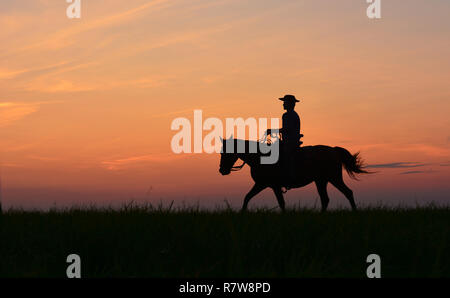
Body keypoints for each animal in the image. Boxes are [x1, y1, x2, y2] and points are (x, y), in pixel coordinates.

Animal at [218, 137, 370, 212]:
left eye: (226, 152)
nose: (222, 170)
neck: (259, 157)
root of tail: (334, 150)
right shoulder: (262, 184)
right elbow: (247, 197)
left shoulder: (270, 185)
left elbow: (281, 203)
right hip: (321, 181)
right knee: (325, 199)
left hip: (334, 178)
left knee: (348, 192)